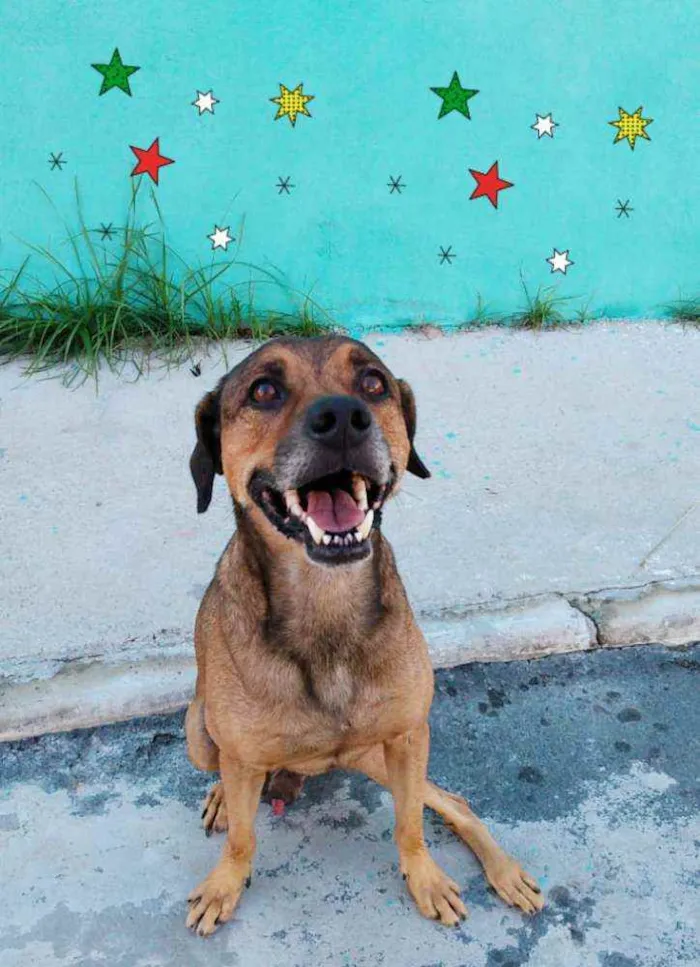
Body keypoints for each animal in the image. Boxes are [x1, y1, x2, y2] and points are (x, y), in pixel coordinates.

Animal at [183, 334, 544, 936]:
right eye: (264, 390)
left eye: (373, 383)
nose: (343, 420)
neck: (325, 602)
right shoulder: (238, 754)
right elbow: (242, 839)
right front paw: (224, 884)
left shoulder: (408, 737)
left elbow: (410, 825)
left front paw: (425, 877)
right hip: (197, 728)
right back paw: (222, 797)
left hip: (378, 756)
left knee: (453, 802)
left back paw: (504, 870)